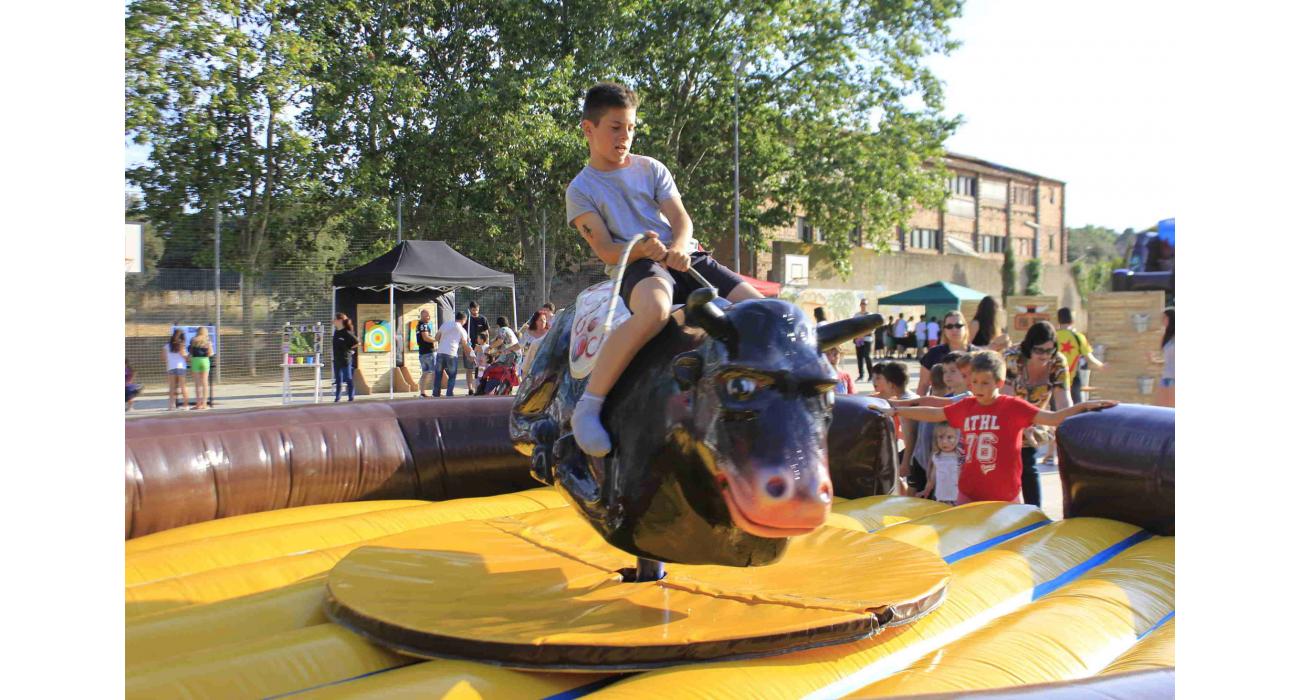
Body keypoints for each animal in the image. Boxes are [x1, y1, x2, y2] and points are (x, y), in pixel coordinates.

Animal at [506, 288, 883, 567]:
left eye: (828, 391)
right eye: (739, 386)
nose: (803, 497)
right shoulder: (612, 505)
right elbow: (565, 462)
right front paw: (555, 446)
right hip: (543, 365)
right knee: (517, 422)